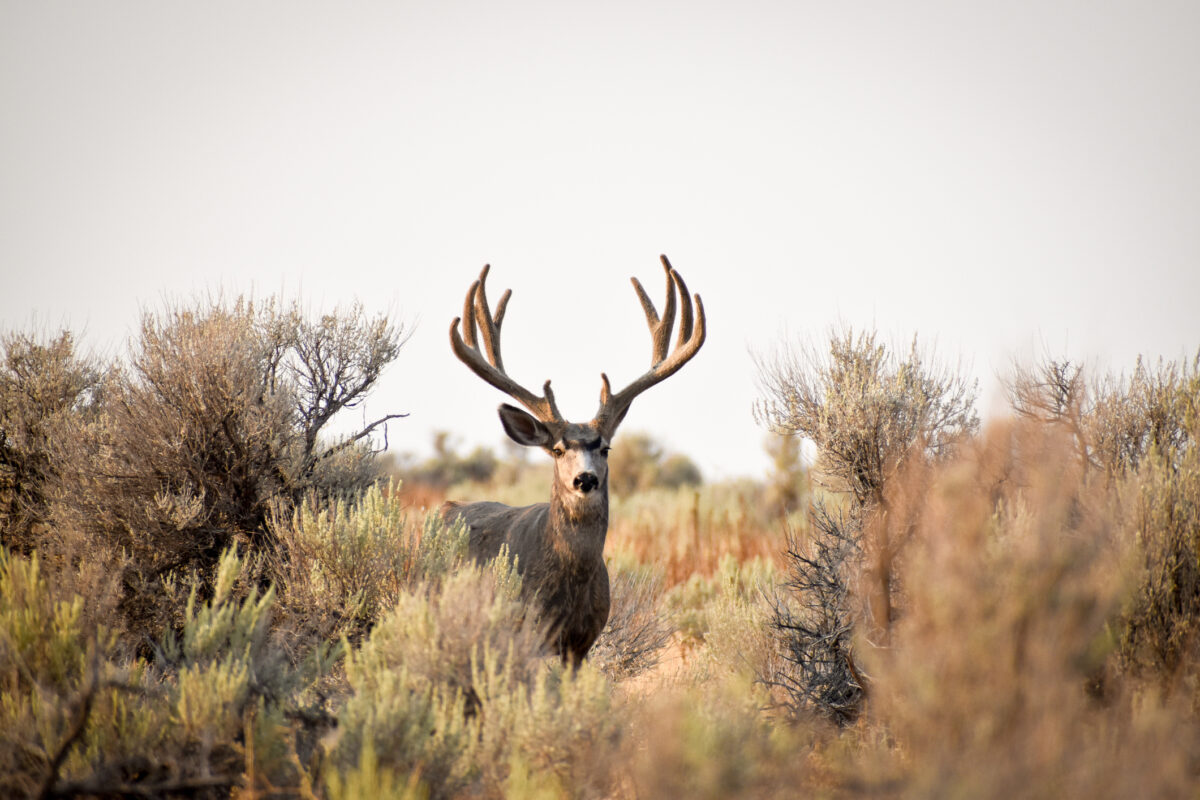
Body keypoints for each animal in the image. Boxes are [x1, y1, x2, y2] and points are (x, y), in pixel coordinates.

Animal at [441, 255, 700, 662]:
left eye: (605, 447)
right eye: (559, 449)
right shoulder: (528, 631)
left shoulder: (582, 642)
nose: (585, 479)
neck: (569, 584)